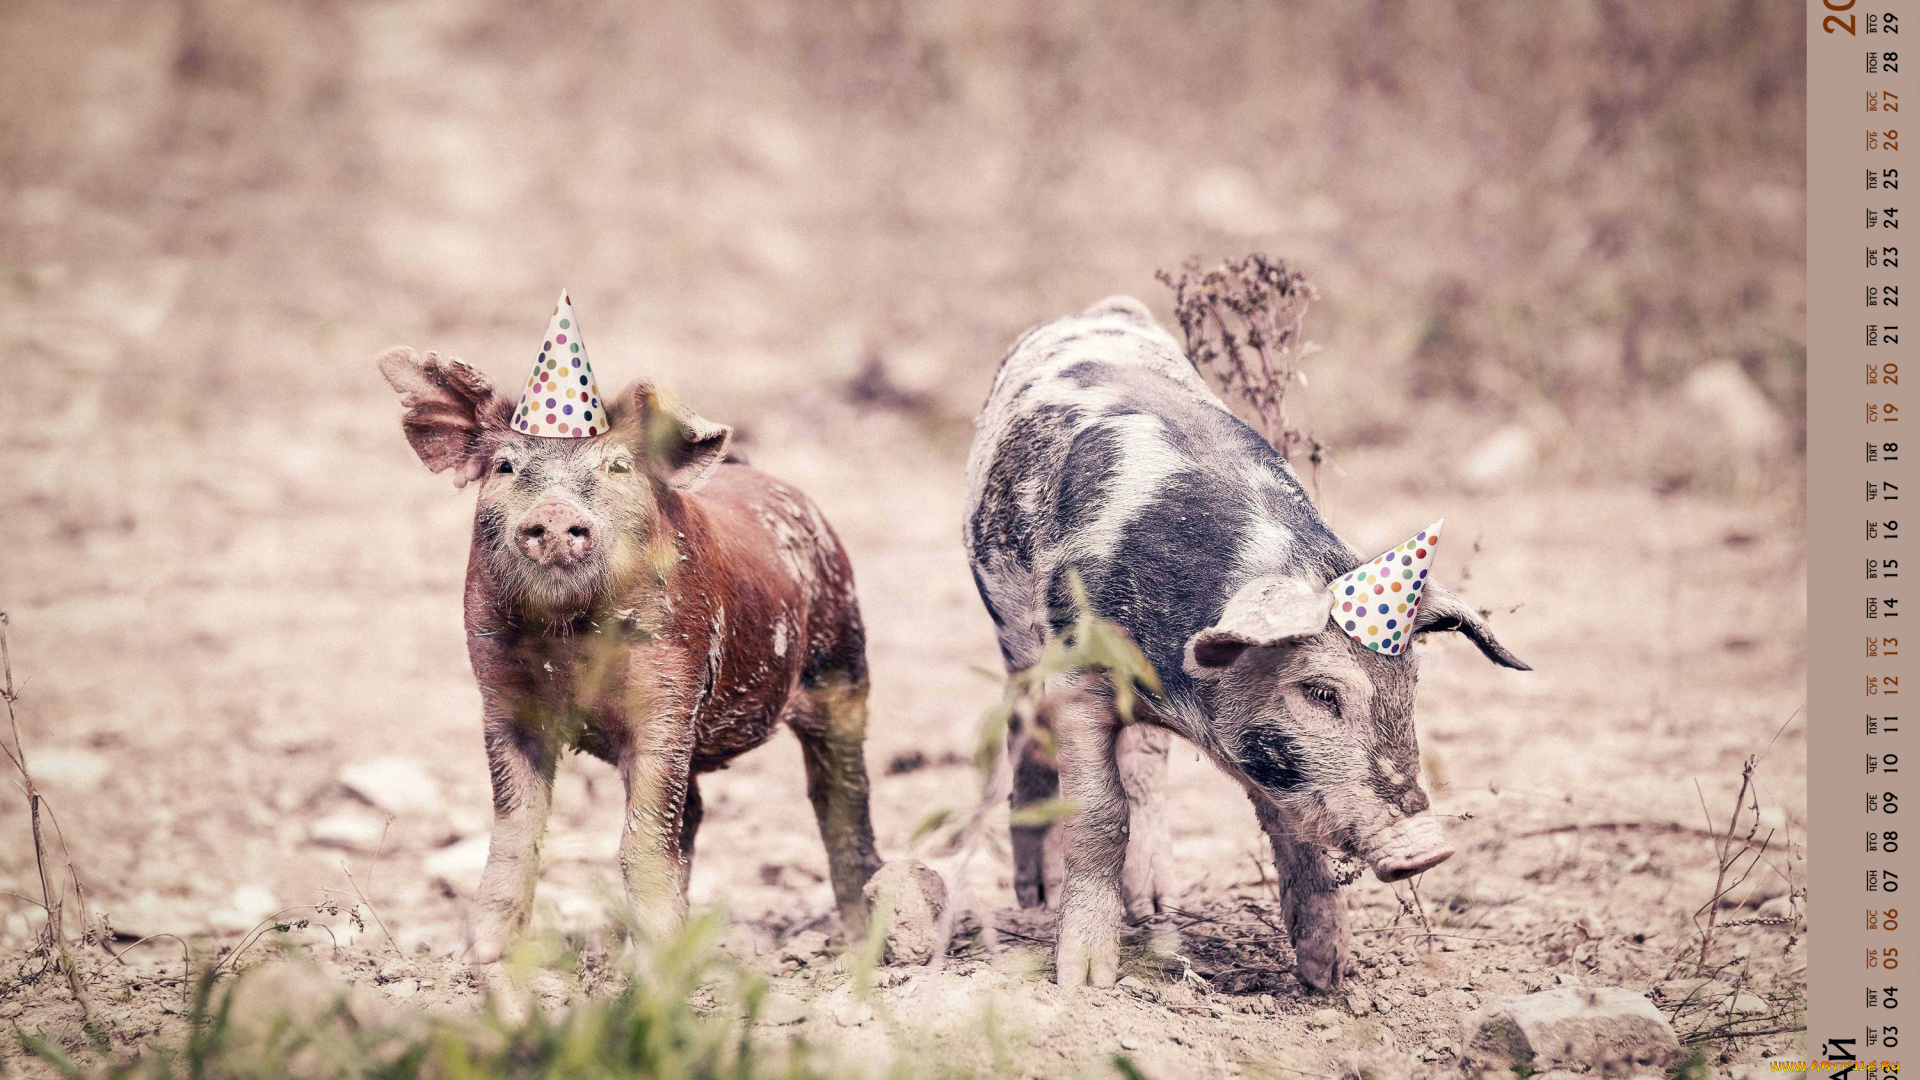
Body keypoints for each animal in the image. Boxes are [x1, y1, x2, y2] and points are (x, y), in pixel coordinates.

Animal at [960, 292, 1528, 983]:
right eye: (1320, 692)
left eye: (1411, 686)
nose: (1428, 849)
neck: (1179, 685)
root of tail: (1099, 308)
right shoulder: (1077, 673)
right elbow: (1099, 814)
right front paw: (1085, 979)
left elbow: (1285, 820)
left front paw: (1329, 973)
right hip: (1014, 640)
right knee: (1025, 726)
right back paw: (1038, 899)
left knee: (1146, 765)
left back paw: (1156, 904)